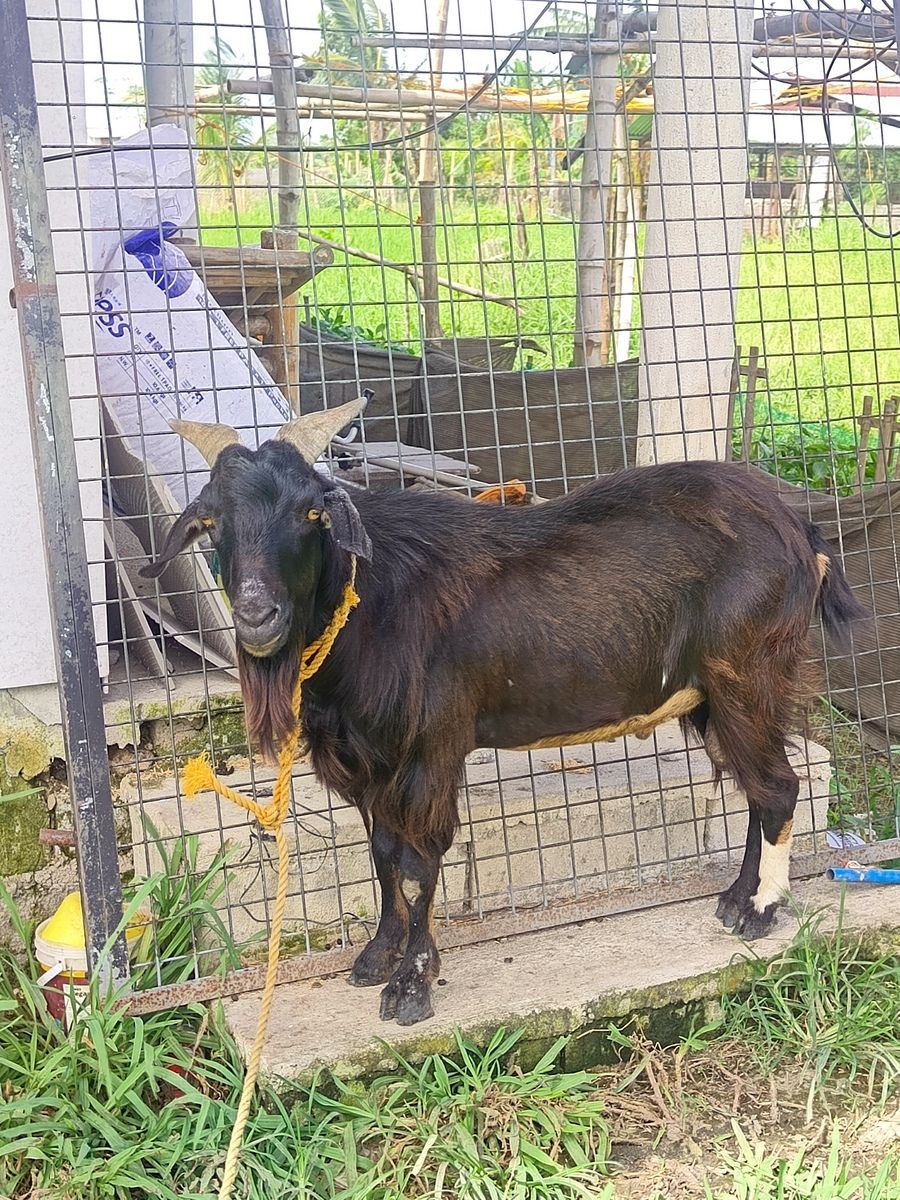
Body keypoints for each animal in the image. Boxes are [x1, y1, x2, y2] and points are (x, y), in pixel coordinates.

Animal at [142, 398, 867, 1026]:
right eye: (213, 520)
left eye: (311, 514)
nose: (256, 614)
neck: (373, 603)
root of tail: (800, 530)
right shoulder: (370, 760)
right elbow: (380, 853)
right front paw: (377, 956)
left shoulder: (429, 748)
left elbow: (417, 864)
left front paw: (412, 985)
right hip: (710, 699)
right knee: (753, 786)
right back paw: (734, 899)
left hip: (748, 676)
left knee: (777, 786)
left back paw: (762, 911)